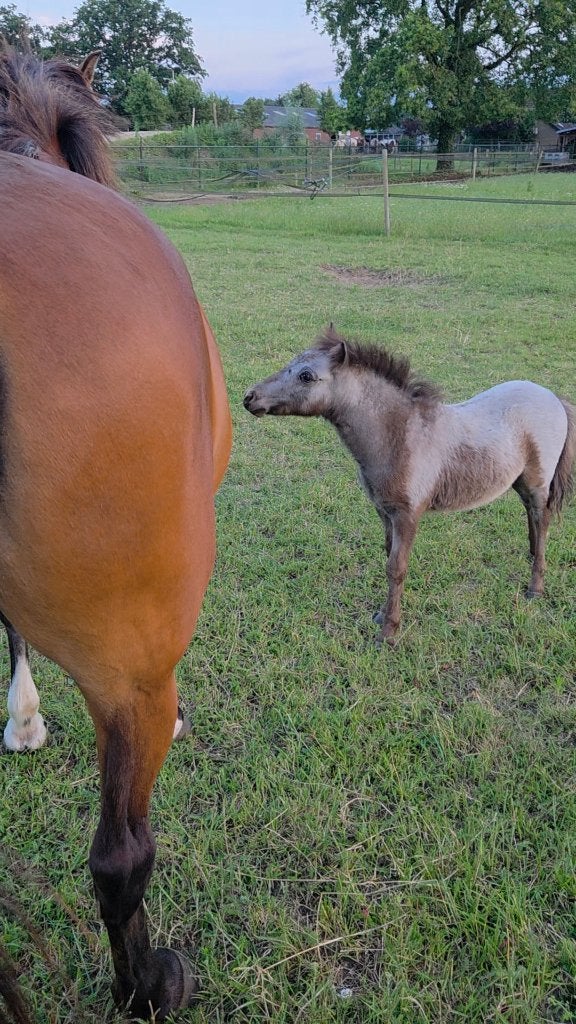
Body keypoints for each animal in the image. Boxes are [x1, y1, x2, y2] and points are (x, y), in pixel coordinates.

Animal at [244, 327, 575, 645]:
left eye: (306, 375)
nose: (250, 397)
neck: (400, 435)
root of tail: (553, 397)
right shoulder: (384, 512)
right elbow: (388, 556)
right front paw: (381, 615)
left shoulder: (407, 515)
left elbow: (396, 568)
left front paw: (388, 632)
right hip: (518, 480)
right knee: (531, 516)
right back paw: (530, 555)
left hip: (538, 482)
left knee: (542, 518)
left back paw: (535, 587)